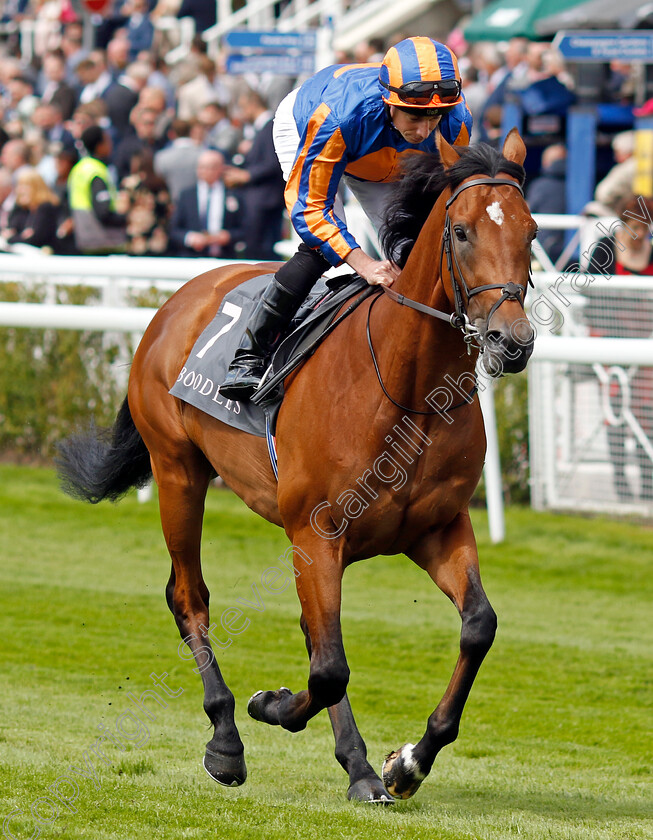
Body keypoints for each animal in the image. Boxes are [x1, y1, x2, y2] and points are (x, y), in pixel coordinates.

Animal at [56, 131, 536, 800]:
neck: (408, 387)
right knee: (189, 596)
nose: (511, 341)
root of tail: (178, 298)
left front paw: (405, 763)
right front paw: (270, 705)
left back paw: (358, 767)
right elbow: (329, 667)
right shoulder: (316, 531)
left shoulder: (437, 527)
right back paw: (227, 739)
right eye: (462, 232)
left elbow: (477, 627)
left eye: (531, 231)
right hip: (178, 470)